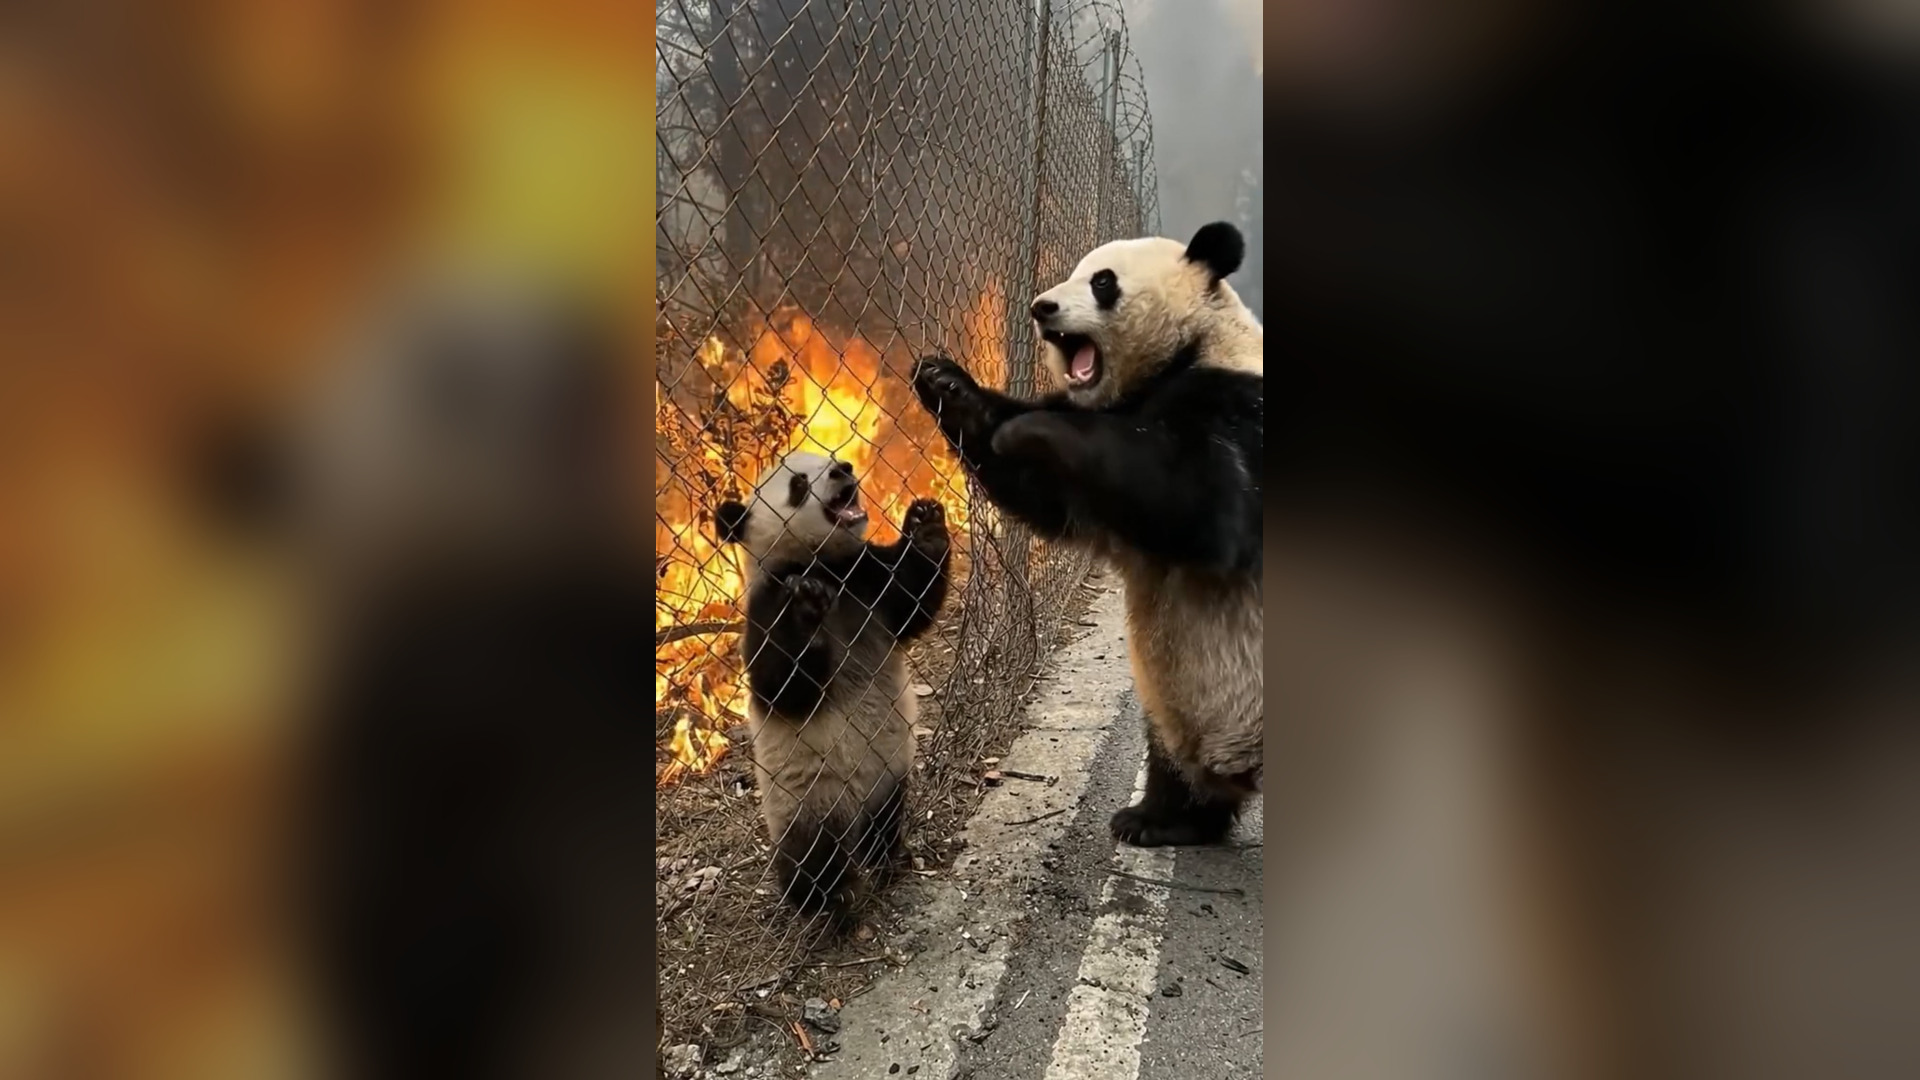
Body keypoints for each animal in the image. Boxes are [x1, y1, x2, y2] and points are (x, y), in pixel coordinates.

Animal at [713, 451, 952, 922]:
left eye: (825, 457)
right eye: (798, 484)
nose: (843, 468)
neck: (822, 564)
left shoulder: (866, 580)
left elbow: (911, 597)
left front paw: (926, 523)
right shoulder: (764, 606)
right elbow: (779, 685)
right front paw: (805, 608)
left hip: (888, 775)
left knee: (885, 819)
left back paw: (888, 859)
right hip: (808, 796)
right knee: (815, 855)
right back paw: (830, 901)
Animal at [911, 221, 1261, 847]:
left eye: (1102, 282)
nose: (1041, 308)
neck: (1186, 350)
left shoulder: (1237, 406)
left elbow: (1201, 499)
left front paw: (1034, 427)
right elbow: (1047, 493)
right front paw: (945, 382)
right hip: (1181, 705)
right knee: (1173, 758)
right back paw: (1161, 820)